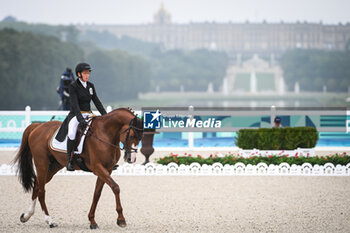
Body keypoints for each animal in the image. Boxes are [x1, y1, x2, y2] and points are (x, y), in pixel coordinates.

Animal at [13, 108, 143, 228]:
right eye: (131, 136)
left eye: (140, 138)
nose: (131, 159)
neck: (106, 134)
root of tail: (37, 126)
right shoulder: (98, 168)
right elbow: (115, 187)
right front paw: (121, 219)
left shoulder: (107, 169)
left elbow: (97, 193)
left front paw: (92, 221)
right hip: (42, 164)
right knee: (41, 190)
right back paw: (49, 221)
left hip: (54, 166)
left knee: (37, 185)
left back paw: (26, 216)